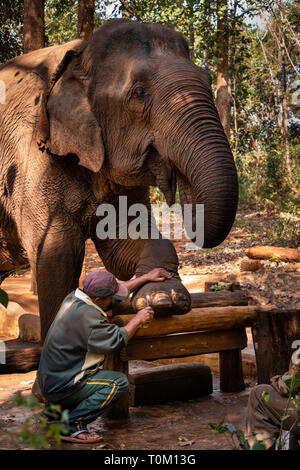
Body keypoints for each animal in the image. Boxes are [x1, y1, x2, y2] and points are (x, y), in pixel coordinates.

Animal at [0, 18, 239, 342]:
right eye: (138, 91)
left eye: (206, 78)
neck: (80, 52)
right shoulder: (33, 158)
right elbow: (56, 258)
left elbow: (124, 241)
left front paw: (163, 298)